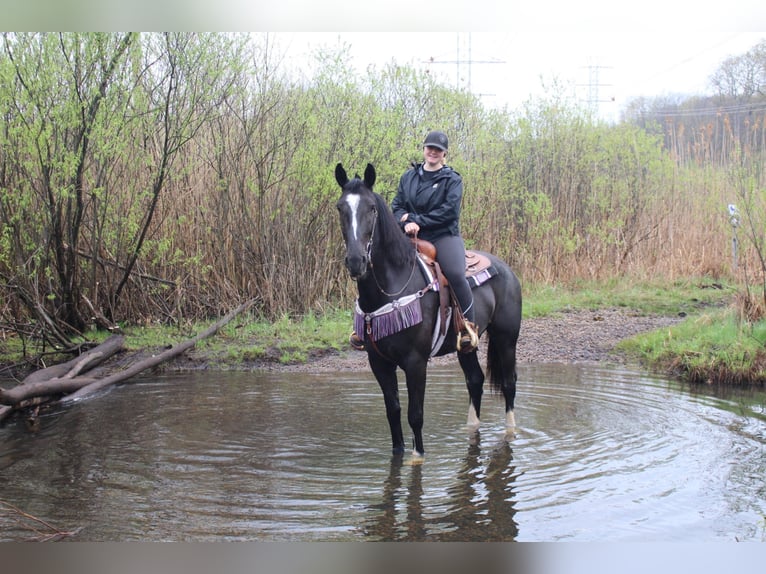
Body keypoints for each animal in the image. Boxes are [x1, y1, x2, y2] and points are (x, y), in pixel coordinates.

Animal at [336, 162, 520, 460]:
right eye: (340, 207)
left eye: (371, 208)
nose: (356, 261)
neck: (394, 285)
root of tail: (506, 269)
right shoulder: (379, 362)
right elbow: (393, 411)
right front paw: (398, 453)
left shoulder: (415, 362)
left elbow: (415, 415)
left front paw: (416, 458)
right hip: (465, 346)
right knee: (475, 380)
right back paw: (471, 428)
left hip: (506, 338)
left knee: (509, 383)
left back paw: (511, 432)